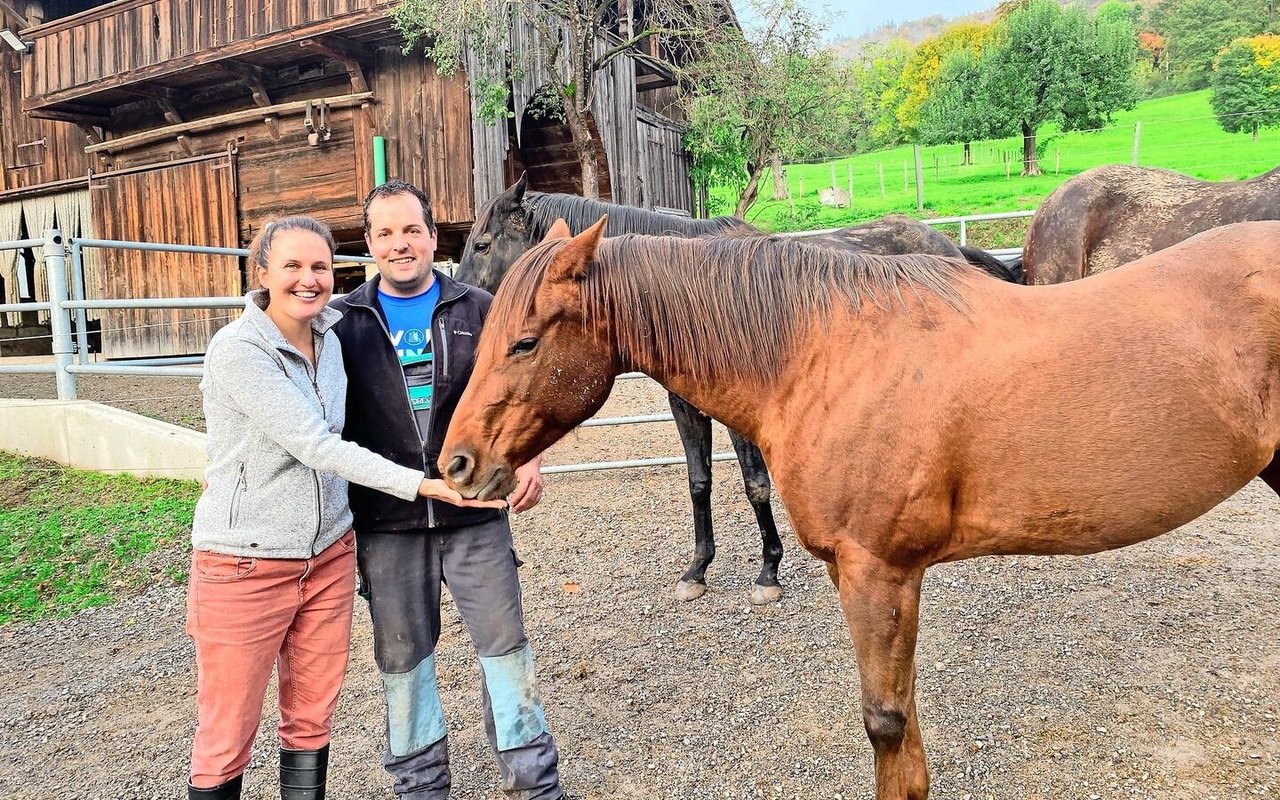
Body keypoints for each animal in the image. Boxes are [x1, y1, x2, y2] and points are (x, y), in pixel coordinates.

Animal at [437, 218, 1280, 798]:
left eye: (524, 341)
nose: (457, 464)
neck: (817, 352)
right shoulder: (868, 576)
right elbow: (903, 733)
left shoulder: (880, 573)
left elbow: (884, 721)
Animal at [460, 174, 1018, 604]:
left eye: (483, 244)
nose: (464, 298)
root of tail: (945, 244)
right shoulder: (685, 404)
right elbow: (699, 481)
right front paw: (697, 570)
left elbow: (755, 484)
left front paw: (769, 571)